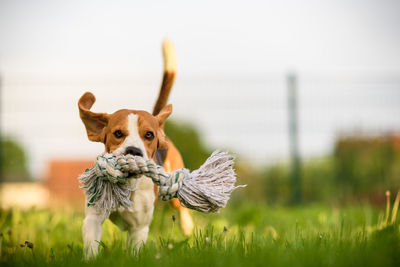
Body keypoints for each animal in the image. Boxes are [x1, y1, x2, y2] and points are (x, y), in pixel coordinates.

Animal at [78, 39, 194, 260]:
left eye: (148, 135)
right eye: (117, 133)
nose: (133, 151)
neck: (128, 186)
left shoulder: (139, 228)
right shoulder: (93, 217)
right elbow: (91, 244)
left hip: (174, 189)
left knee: (182, 209)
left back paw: (188, 227)